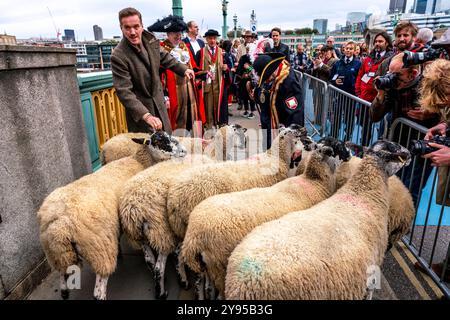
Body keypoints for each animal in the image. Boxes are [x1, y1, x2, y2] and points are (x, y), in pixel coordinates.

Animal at [37, 130, 186, 300]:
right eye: (160, 141)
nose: (183, 151)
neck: (138, 161)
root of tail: (59, 226)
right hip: (100, 249)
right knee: (98, 291)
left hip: (56, 252)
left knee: (62, 278)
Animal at [118, 125, 248, 300]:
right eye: (159, 141)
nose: (183, 151)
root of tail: (134, 209)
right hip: (162, 231)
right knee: (163, 263)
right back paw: (170, 288)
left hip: (140, 236)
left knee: (150, 260)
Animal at [180, 136, 352, 298]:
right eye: (337, 147)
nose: (350, 156)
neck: (313, 181)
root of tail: (194, 237)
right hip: (219, 265)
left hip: (206, 264)